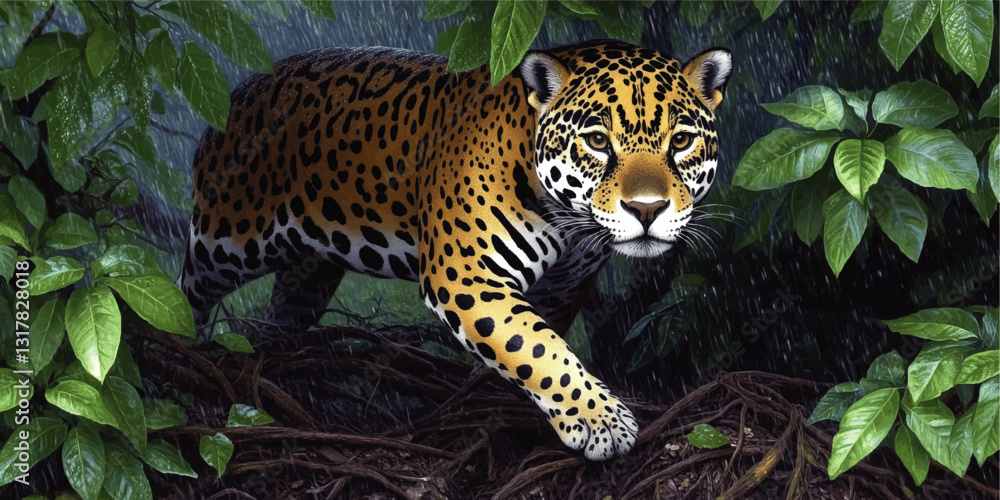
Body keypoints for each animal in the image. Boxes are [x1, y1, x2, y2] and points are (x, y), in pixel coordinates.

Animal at [179, 40, 732, 461]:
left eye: (681, 141)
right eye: (597, 142)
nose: (647, 209)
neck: (570, 221)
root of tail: (236, 93)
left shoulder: (565, 284)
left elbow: (531, 342)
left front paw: (489, 390)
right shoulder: (465, 274)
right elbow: (537, 346)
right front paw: (602, 422)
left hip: (310, 274)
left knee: (282, 316)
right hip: (228, 239)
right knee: (188, 287)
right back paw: (179, 350)